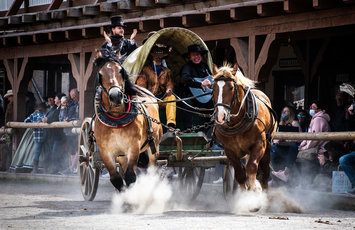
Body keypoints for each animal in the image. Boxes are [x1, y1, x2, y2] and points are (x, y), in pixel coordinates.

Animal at [93, 48, 163, 190]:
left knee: (152, 171)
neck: (116, 120)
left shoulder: (133, 147)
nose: (116, 96)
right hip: (122, 156)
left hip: (154, 146)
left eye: (120, 70)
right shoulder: (106, 152)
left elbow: (130, 177)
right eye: (100, 74)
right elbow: (116, 179)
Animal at [211, 63, 278, 191]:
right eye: (213, 88)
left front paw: (254, 190)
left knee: (265, 173)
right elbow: (240, 174)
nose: (221, 116)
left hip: (267, 147)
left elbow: (251, 168)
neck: (236, 123)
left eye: (231, 87)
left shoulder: (260, 144)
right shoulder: (229, 150)